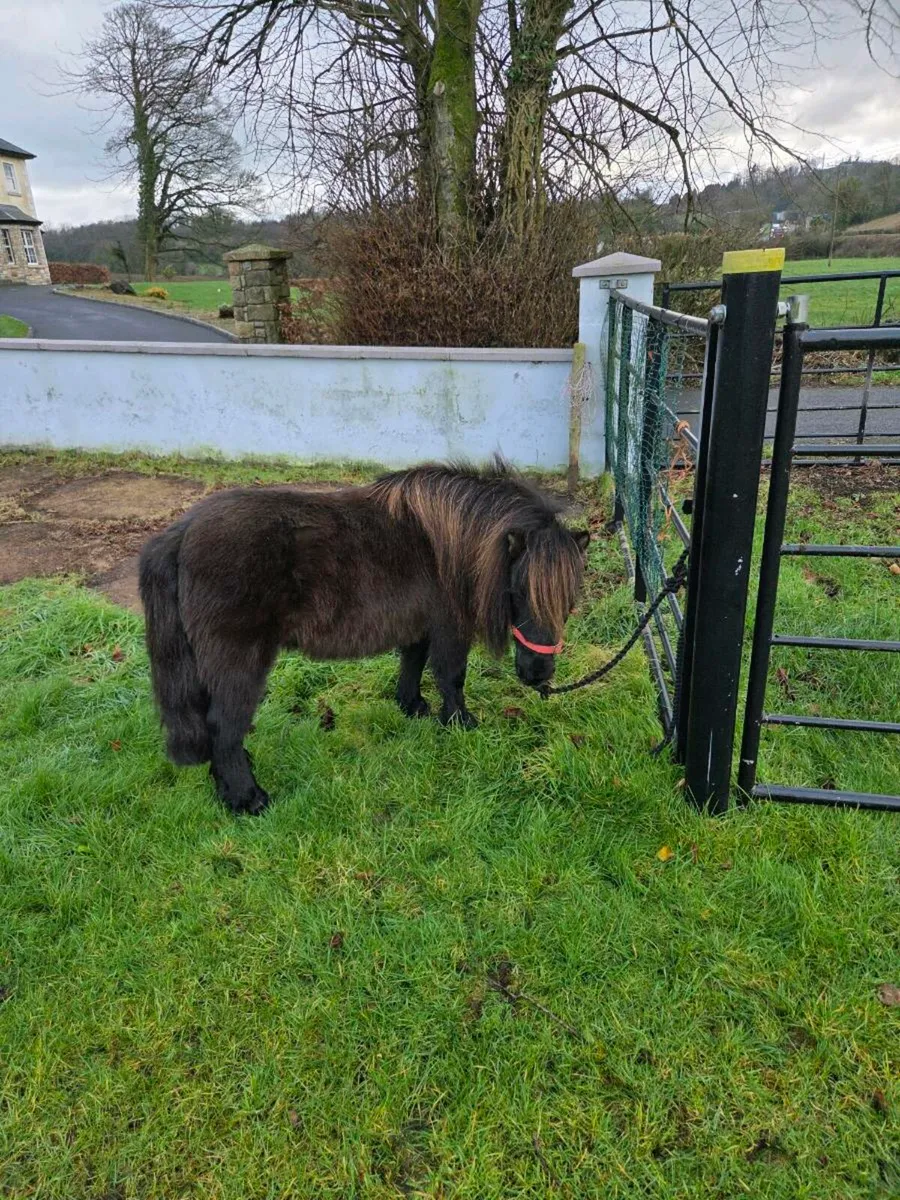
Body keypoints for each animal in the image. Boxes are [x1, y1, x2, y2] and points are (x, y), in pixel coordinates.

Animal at [138, 460, 589, 814]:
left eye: (569, 599)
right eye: (519, 593)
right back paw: (248, 799)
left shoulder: (420, 625)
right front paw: (460, 723)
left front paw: (412, 706)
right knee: (224, 726)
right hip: (239, 662)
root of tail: (181, 532)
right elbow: (452, 676)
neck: (449, 544)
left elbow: (413, 662)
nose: (539, 674)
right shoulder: (450, 628)